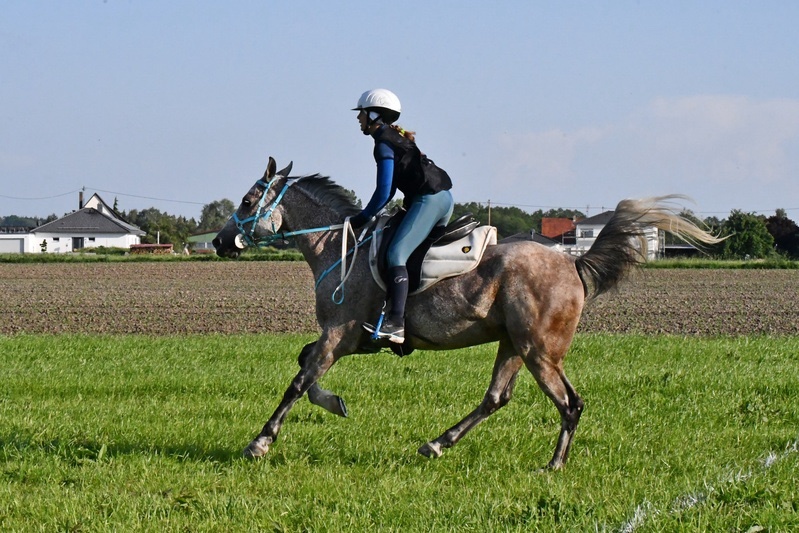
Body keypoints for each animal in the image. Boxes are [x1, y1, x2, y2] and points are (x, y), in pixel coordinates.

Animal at [212, 156, 724, 468]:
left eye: (247, 201)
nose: (219, 241)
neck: (339, 249)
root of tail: (572, 262)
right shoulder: (349, 339)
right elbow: (304, 366)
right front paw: (334, 402)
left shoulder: (340, 333)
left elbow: (299, 381)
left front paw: (260, 441)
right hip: (513, 343)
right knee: (497, 397)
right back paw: (438, 443)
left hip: (539, 350)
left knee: (569, 403)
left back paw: (553, 465)